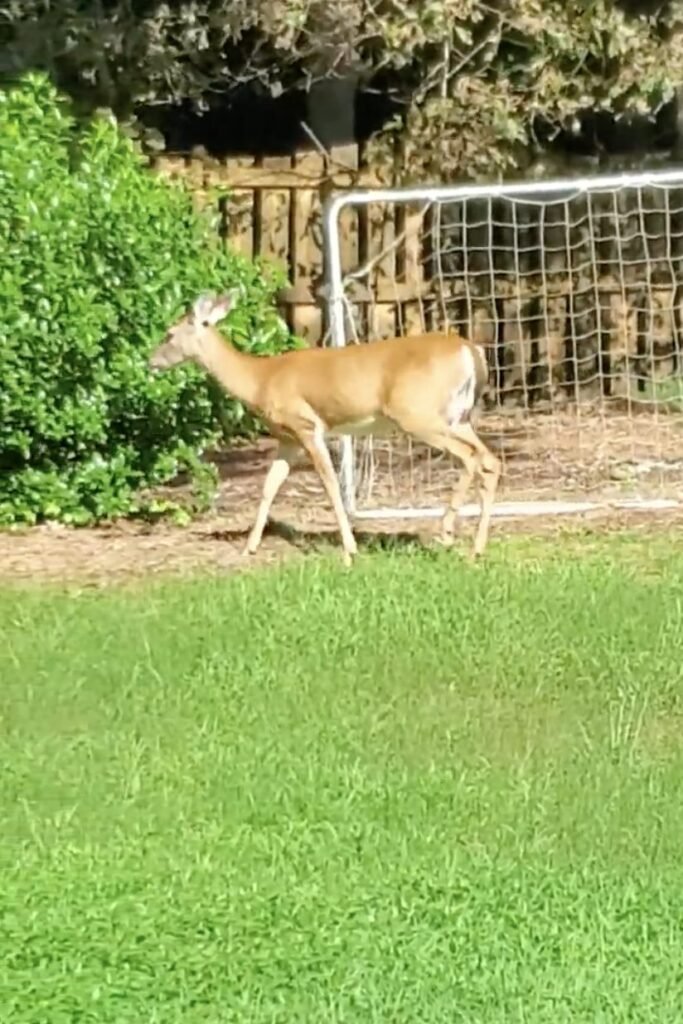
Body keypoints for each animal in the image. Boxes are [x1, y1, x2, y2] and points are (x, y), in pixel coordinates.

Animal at [148, 292, 501, 567]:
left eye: (169, 333)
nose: (150, 361)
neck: (260, 379)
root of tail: (471, 352)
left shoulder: (306, 425)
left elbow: (331, 485)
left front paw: (349, 550)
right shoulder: (286, 438)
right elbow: (269, 486)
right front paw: (249, 547)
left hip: (418, 413)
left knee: (471, 457)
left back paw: (447, 532)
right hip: (457, 417)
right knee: (490, 460)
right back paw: (476, 550)